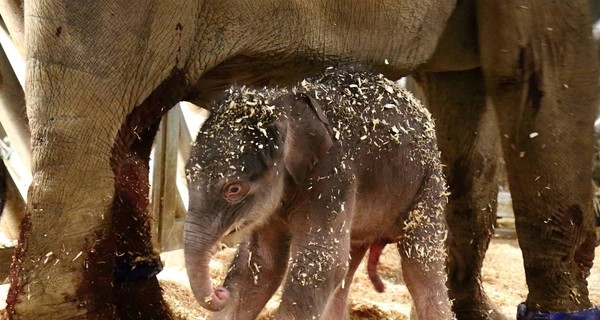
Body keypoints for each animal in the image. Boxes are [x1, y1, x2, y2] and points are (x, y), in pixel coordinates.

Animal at [185, 67, 452, 320]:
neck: (287, 105)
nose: (221, 292)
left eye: (234, 189)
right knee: (350, 261)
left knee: (420, 266)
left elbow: (321, 262)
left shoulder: (332, 177)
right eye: (187, 176)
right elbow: (261, 262)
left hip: (428, 184)